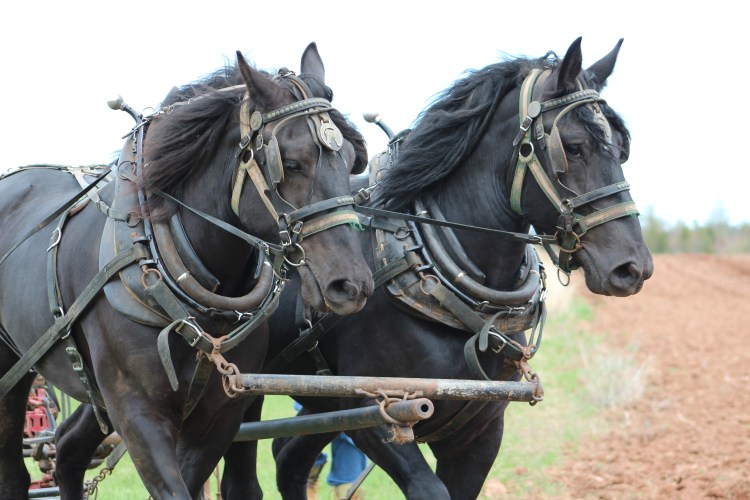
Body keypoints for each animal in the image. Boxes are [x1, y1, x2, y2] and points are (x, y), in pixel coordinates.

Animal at [0, 42, 373, 499]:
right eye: (293, 162)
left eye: (353, 160)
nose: (350, 284)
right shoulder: (136, 410)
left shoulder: (221, 414)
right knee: (14, 472)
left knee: (68, 448)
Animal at [53, 37, 654, 499]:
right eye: (573, 146)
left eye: (623, 147)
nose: (633, 268)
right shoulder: (380, 413)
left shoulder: (483, 428)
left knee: (283, 458)